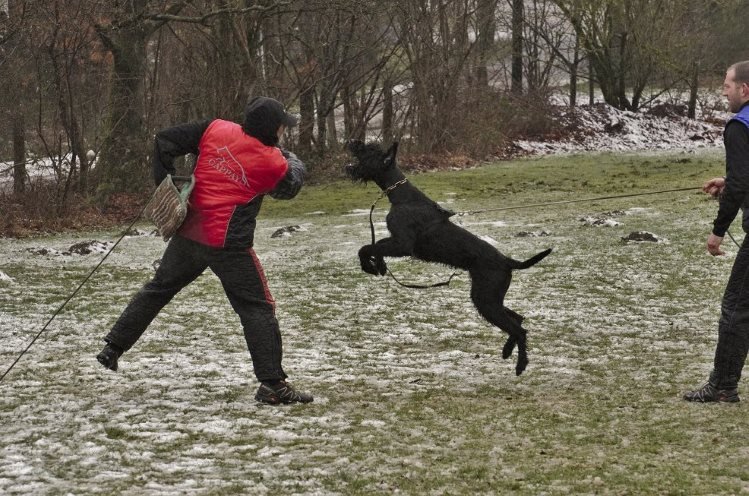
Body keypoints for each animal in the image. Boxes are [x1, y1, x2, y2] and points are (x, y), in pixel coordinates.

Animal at [344, 140, 548, 376]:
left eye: (370, 151)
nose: (353, 143)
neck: (401, 195)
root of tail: (508, 261)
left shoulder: (403, 245)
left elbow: (368, 247)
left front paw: (370, 266)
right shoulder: (396, 241)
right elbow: (374, 246)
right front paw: (380, 266)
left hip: (486, 299)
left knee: (518, 328)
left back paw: (520, 365)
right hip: (491, 298)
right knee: (518, 320)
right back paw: (507, 351)